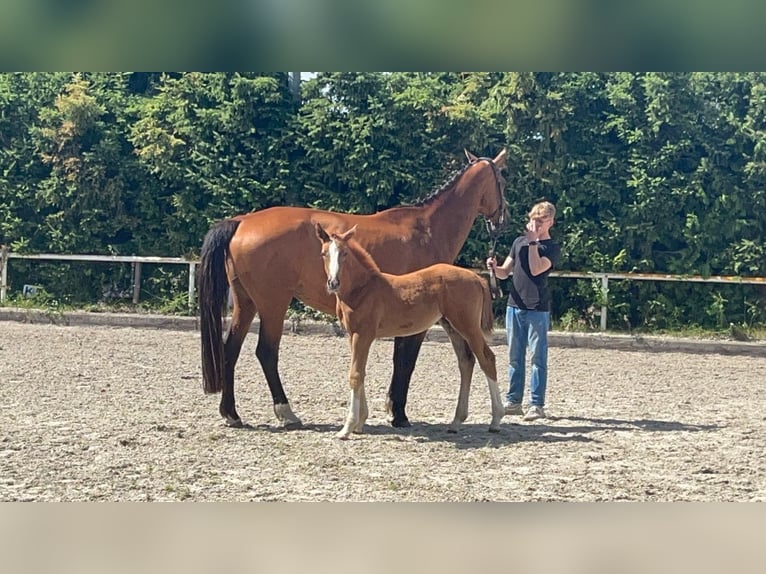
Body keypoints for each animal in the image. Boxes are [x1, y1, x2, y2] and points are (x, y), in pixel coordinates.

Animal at [316, 225, 508, 440]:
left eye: (345, 253)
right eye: (324, 253)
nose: (333, 283)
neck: (363, 289)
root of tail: (476, 277)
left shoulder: (363, 335)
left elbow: (355, 375)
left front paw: (347, 428)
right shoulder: (353, 335)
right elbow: (361, 372)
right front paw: (360, 422)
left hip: (468, 326)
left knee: (487, 359)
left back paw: (496, 420)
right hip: (452, 327)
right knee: (466, 362)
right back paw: (456, 422)